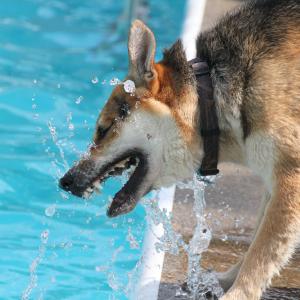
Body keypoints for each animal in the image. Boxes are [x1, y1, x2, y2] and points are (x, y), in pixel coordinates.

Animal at [59, 1, 300, 298]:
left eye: (103, 130)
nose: (65, 181)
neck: (212, 99)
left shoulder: (290, 178)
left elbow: (262, 253)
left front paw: (239, 292)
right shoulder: (271, 179)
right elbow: (257, 242)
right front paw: (226, 280)